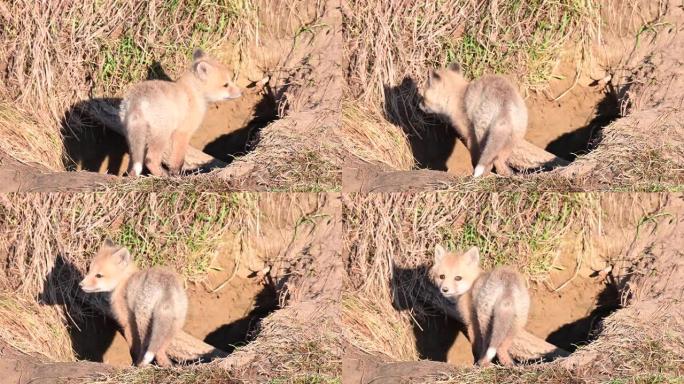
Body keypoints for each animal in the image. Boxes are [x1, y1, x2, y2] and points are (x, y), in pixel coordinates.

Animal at [79, 238, 187, 368]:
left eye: (99, 275)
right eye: (89, 271)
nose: (80, 285)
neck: (124, 282)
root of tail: (166, 285)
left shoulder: (127, 321)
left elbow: (133, 346)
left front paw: (134, 361)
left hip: (143, 321)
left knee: (147, 345)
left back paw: (140, 364)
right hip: (175, 324)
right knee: (160, 350)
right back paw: (166, 365)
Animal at [119, 48, 242, 176]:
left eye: (230, 81)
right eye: (226, 85)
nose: (241, 92)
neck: (193, 92)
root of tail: (137, 99)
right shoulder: (183, 132)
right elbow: (178, 160)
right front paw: (176, 175)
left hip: (132, 135)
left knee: (133, 165)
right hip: (162, 135)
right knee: (150, 160)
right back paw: (164, 176)